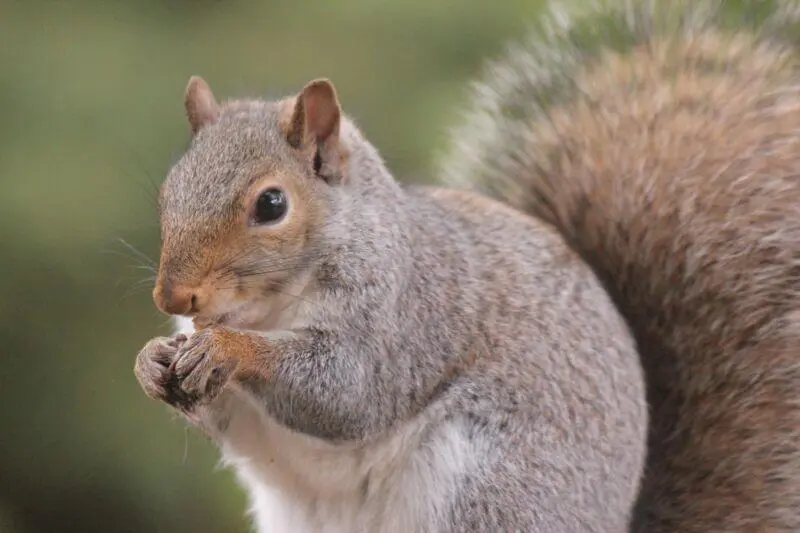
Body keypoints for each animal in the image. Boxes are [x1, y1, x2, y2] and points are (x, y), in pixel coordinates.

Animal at [134, 0, 800, 528]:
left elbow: (349, 391)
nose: (172, 298)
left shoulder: (405, 317)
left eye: (271, 204)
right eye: (168, 190)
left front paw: (229, 349)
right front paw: (151, 361)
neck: (267, 308)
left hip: (492, 489)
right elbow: (234, 422)